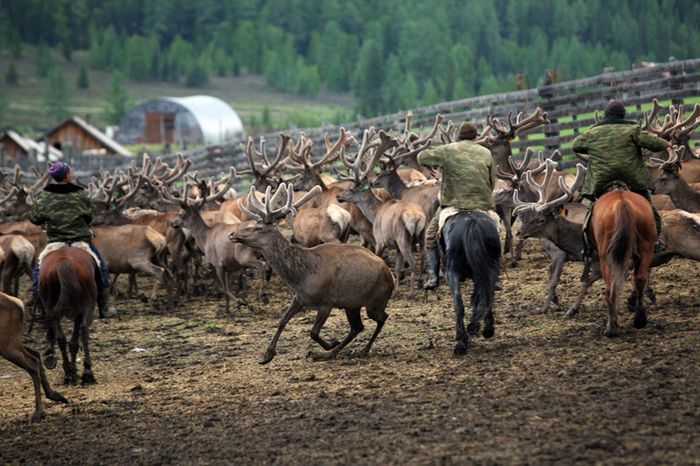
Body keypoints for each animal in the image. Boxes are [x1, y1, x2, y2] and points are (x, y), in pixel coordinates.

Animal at [39, 246, 100, 384]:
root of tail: (63, 261)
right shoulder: (80, 312)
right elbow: (74, 341)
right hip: (88, 305)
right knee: (83, 329)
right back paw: (86, 372)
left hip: (52, 306)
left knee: (61, 337)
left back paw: (69, 373)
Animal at [230, 184, 394, 366]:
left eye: (259, 228)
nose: (232, 234)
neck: (301, 276)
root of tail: (390, 275)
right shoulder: (299, 298)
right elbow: (282, 321)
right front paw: (267, 355)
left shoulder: (326, 302)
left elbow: (313, 332)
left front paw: (330, 344)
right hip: (352, 304)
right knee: (357, 327)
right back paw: (333, 353)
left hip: (376, 300)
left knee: (382, 317)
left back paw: (361, 350)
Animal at [440, 209, 500, 354]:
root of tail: (472, 222)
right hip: (490, 268)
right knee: (488, 296)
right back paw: (486, 329)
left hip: (453, 272)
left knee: (458, 303)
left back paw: (461, 341)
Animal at [592, 184, 656, 336]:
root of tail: (622, 202)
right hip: (646, 248)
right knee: (640, 279)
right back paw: (640, 319)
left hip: (606, 257)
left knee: (610, 287)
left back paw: (611, 327)